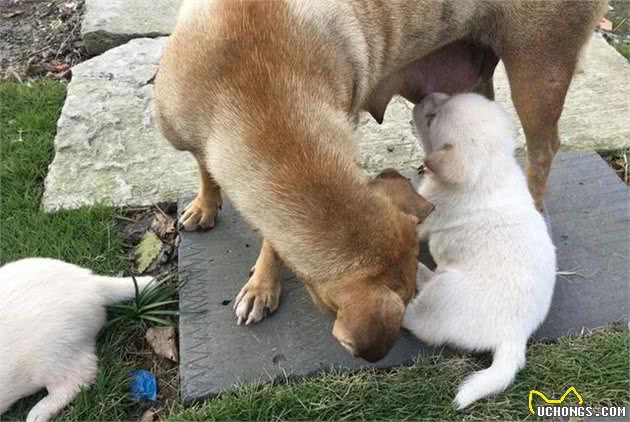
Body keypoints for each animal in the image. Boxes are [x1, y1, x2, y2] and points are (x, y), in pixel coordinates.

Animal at [153, 0, 608, 362]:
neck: (259, 98)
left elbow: (272, 240)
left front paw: (262, 285)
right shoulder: (193, 137)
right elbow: (204, 169)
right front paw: (205, 205)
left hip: (539, 70)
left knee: (543, 149)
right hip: (476, 79)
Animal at [404, 92, 556, 408]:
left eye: (432, 118)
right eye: (444, 96)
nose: (424, 96)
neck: (491, 168)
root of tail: (515, 337)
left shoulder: (425, 213)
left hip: (442, 296)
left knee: (418, 321)